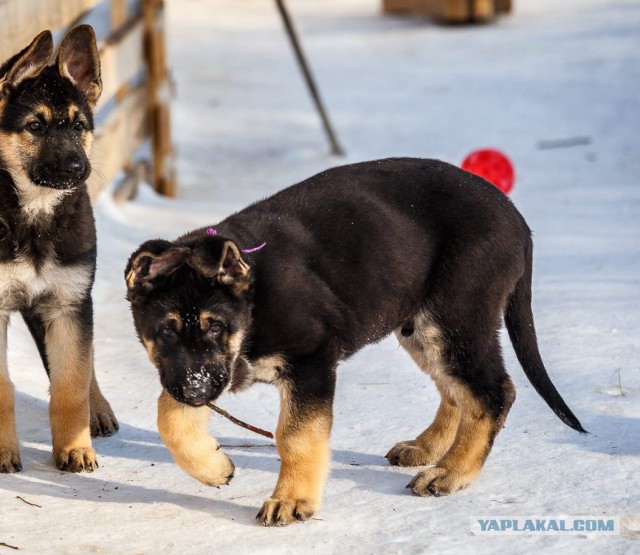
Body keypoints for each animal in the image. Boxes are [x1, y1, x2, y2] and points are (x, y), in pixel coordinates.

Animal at [0, 22, 117, 474]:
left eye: (79, 125)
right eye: (35, 126)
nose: (76, 169)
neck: (33, 213)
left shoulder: (68, 302)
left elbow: (71, 382)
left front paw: (75, 448)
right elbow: (3, 389)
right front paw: (4, 452)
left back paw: (98, 409)